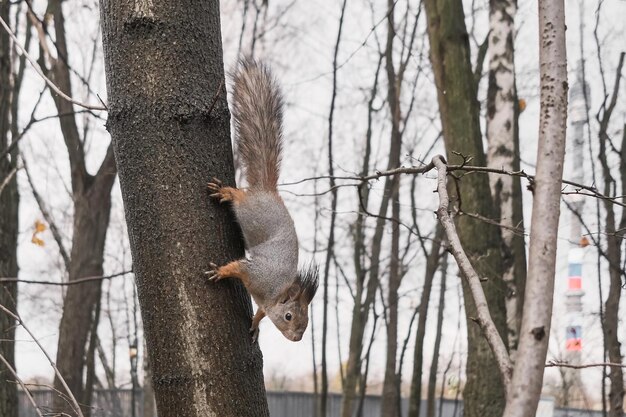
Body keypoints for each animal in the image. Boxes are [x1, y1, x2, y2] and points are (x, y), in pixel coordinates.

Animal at [205, 59, 316, 344]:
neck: (275, 293)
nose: (297, 338)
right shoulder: (257, 274)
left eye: (306, 322)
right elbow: (237, 267)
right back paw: (227, 193)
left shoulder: (265, 301)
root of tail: (267, 191)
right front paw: (221, 272)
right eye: (289, 316)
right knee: (241, 197)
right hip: (250, 211)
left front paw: (255, 324)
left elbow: (261, 313)